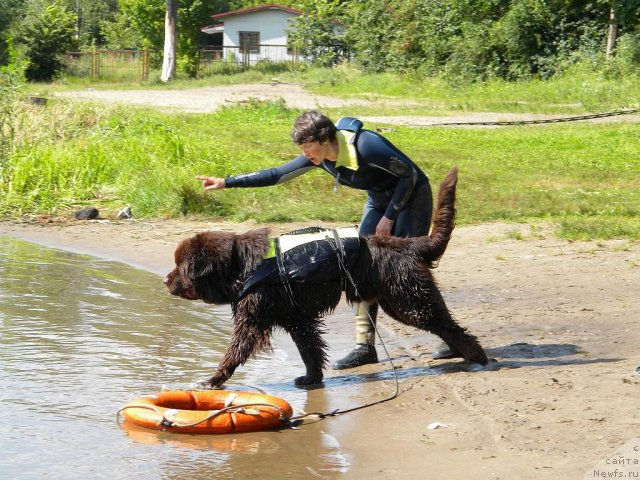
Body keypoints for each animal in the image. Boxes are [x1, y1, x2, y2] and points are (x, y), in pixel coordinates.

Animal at [166, 169, 490, 386]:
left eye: (180, 266)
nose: (166, 280)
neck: (239, 267)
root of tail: (409, 244)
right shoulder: (296, 317)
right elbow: (309, 348)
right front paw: (311, 378)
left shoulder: (253, 319)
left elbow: (236, 349)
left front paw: (212, 380)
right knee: (443, 323)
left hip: (407, 300)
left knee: (446, 324)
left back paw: (478, 358)